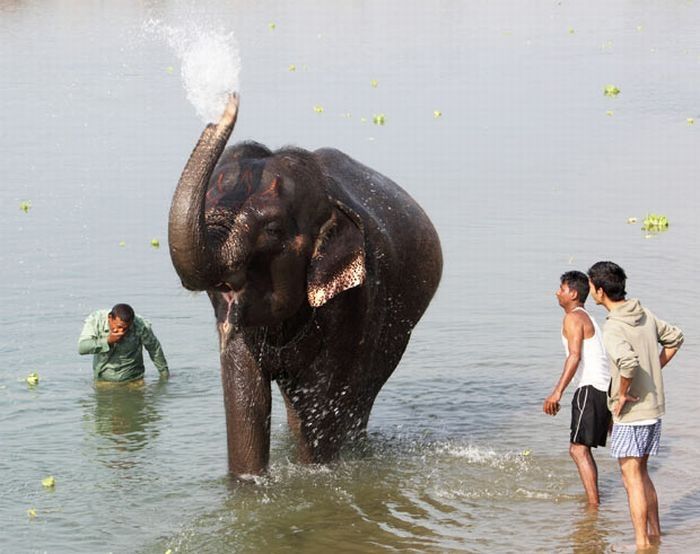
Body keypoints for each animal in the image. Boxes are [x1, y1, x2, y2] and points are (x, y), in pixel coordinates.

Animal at [168, 96, 442, 474]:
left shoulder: (356, 301)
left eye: (272, 230)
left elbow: (321, 402)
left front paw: (314, 476)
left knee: (361, 395)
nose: (229, 100)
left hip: (400, 327)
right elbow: (246, 399)